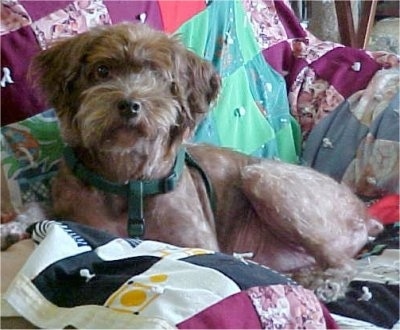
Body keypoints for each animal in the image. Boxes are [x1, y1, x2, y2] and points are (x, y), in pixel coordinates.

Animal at [3, 22, 384, 302]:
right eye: (102, 69)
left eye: (159, 76)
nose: (130, 104)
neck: (128, 179)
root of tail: (366, 217)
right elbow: (39, 210)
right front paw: (13, 225)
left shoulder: (198, 242)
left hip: (263, 176)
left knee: (345, 262)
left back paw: (327, 282)